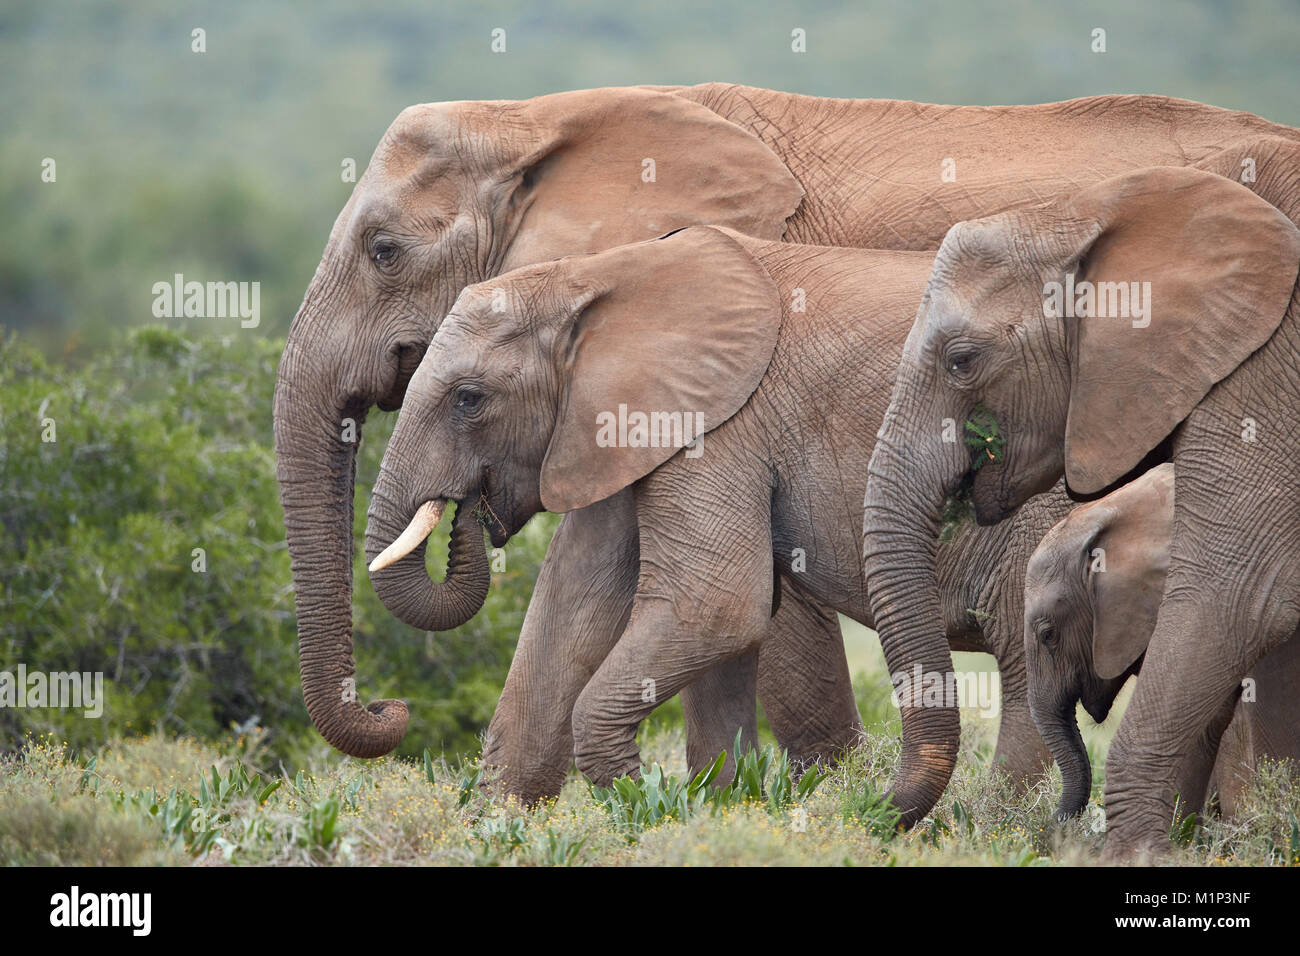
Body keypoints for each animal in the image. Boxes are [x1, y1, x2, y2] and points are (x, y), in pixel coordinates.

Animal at [364, 226, 1076, 822]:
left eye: (469, 399)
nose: (468, 511)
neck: (601, 275)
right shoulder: (626, 427)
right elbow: (572, 603)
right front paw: (504, 824)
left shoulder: (721, 423)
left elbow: (714, 608)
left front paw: (658, 811)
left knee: (1024, 673)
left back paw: (994, 827)